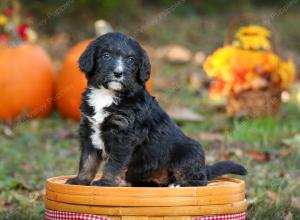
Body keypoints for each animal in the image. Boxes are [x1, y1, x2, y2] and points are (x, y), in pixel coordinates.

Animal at [67, 32, 247, 187]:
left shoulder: (125, 135)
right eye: (106, 55)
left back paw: (179, 184)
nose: (118, 73)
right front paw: (80, 181)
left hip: (189, 151)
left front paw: (106, 182)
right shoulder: (89, 130)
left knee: (199, 180)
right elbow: (87, 161)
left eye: (131, 60)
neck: (107, 94)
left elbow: (114, 163)